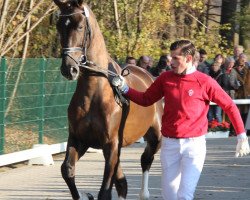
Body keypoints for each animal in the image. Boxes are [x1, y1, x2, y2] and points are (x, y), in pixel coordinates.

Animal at [53, 0, 162, 199]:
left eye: (80, 26)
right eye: (59, 26)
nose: (69, 69)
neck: (94, 93)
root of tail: (148, 75)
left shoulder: (110, 144)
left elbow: (105, 191)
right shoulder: (79, 140)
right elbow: (67, 170)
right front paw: (83, 196)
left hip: (154, 137)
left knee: (146, 160)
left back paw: (144, 193)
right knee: (122, 183)